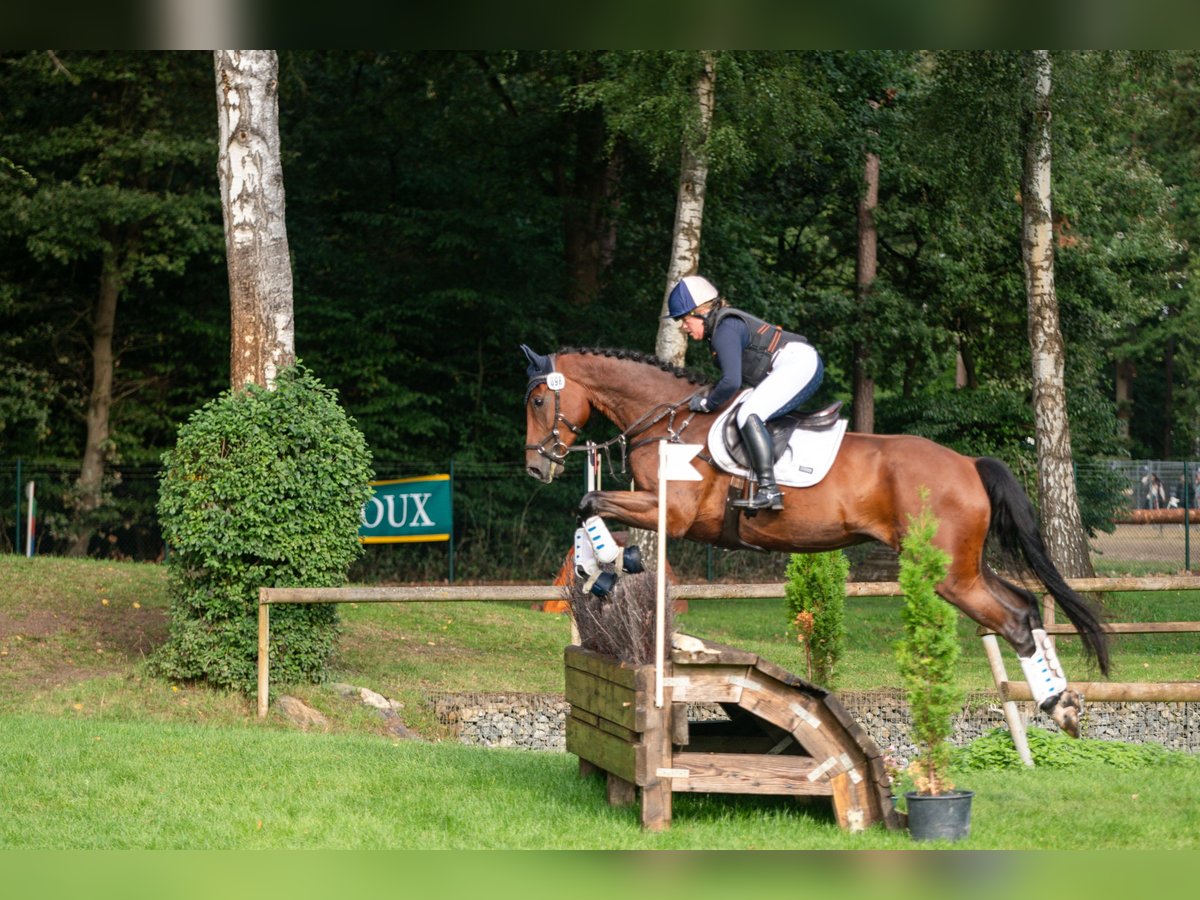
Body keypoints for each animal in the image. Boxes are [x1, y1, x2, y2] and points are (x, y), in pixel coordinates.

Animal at [521, 345, 1111, 738]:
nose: (535, 466)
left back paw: (1059, 706)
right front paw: (599, 570)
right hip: (958, 566)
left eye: (538, 400)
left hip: (948, 574)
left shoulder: (676, 513)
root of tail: (968, 464)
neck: (670, 421)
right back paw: (1062, 702)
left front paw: (606, 564)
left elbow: (590, 507)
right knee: (1026, 603)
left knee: (1012, 619)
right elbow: (589, 511)